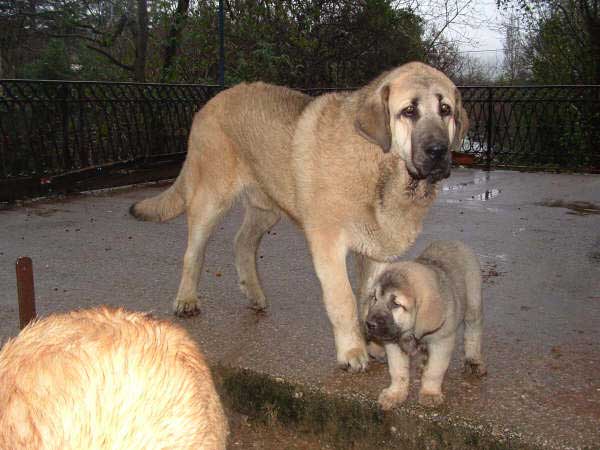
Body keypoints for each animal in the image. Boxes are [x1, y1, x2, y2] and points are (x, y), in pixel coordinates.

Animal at [130, 62, 468, 372]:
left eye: (445, 110)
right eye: (409, 111)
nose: (438, 150)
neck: (379, 165)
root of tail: (211, 102)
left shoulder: (378, 251)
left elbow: (371, 296)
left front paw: (374, 342)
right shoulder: (329, 244)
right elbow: (343, 299)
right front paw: (352, 351)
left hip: (267, 208)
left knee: (243, 242)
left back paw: (254, 292)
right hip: (211, 198)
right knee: (194, 251)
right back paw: (187, 299)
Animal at [364, 241, 486, 410]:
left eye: (395, 304)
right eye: (374, 298)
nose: (369, 324)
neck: (410, 332)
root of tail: (452, 242)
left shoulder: (441, 342)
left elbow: (434, 371)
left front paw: (430, 393)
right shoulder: (393, 344)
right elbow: (397, 371)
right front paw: (395, 394)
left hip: (473, 305)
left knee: (473, 334)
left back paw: (473, 360)